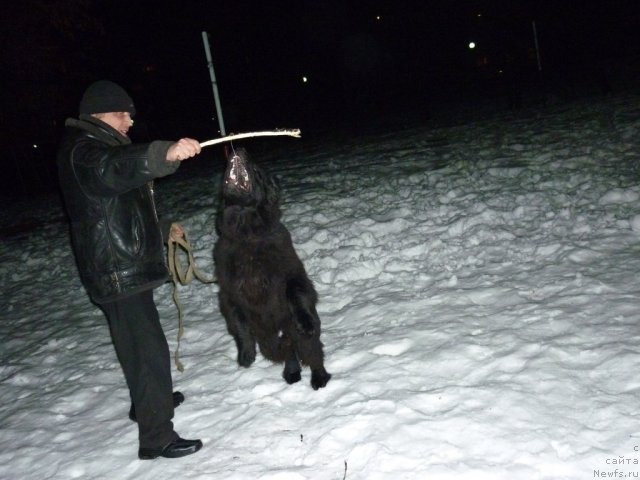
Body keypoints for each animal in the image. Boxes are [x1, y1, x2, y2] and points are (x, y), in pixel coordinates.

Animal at [215, 147, 332, 390]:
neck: (246, 234)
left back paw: (319, 378)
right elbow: (239, 324)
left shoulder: (292, 275)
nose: (239, 148)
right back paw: (292, 373)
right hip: (270, 341)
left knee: (311, 352)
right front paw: (246, 355)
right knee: (289, 353)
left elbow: (296, 294)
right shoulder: (228, 292)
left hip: (295, 334)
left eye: (257, 171)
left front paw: (305, 322)